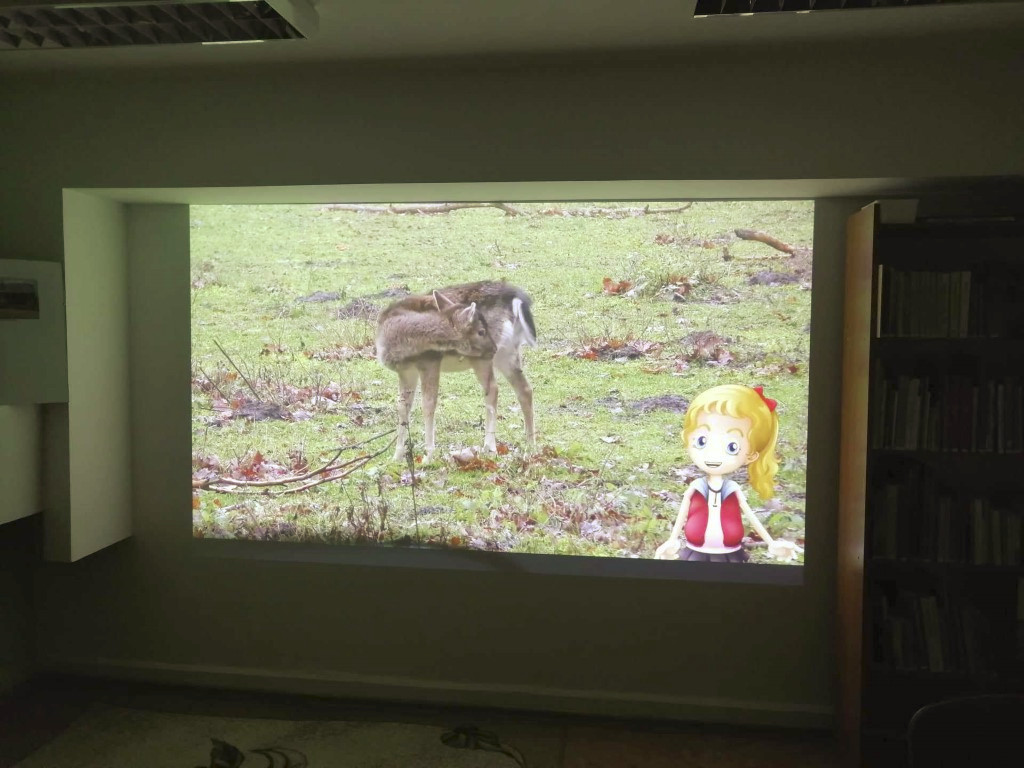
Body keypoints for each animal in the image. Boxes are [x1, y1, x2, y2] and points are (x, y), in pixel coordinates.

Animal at [376, 280, 537, 462]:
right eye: (481, 331)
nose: (493, 347)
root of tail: (516, 298)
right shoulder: (405, 370)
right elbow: (403, 407)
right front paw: (396, 456)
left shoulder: (430, 360)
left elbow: (428, 404)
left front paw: (428, 456)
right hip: (508, 353)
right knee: (525, 389)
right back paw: (530, 448)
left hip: (483, 357)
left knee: (493, 388)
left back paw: (490, 447)